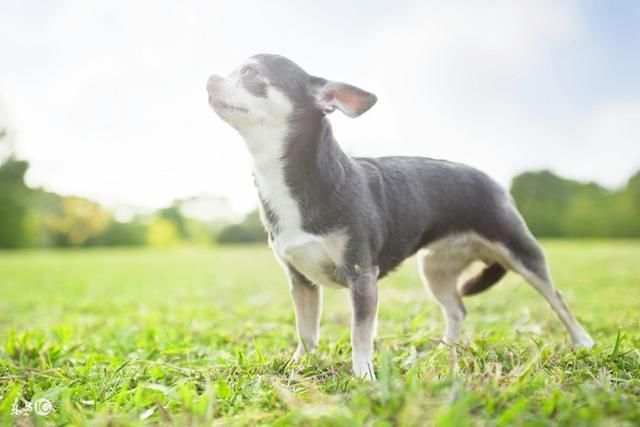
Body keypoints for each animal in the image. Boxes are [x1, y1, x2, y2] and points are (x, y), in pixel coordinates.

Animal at [206, 54, 596, 382]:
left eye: (249, 73)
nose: (209, 77)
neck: (287, 176)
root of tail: (496, 184)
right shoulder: (301, 281)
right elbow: (306, 331)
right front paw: (299, 363)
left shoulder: (362, 276)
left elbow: (359, 333)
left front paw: (363, 375)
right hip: (434, 270)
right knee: (457, 309)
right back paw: (447, 349)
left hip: (521, 252)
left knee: (557, 298)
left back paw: (582, 341)